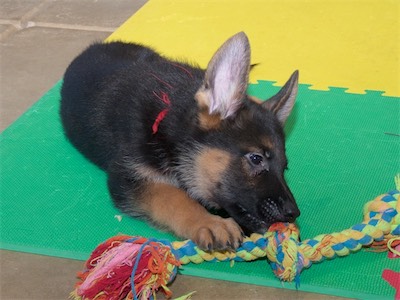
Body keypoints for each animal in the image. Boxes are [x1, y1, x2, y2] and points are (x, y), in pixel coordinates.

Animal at [60, 31, 300, 251]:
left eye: (285, 167)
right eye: (256, 158)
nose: (293, 213)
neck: (169, 123)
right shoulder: (127, 177)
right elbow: (172, 196)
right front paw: (209, 222)